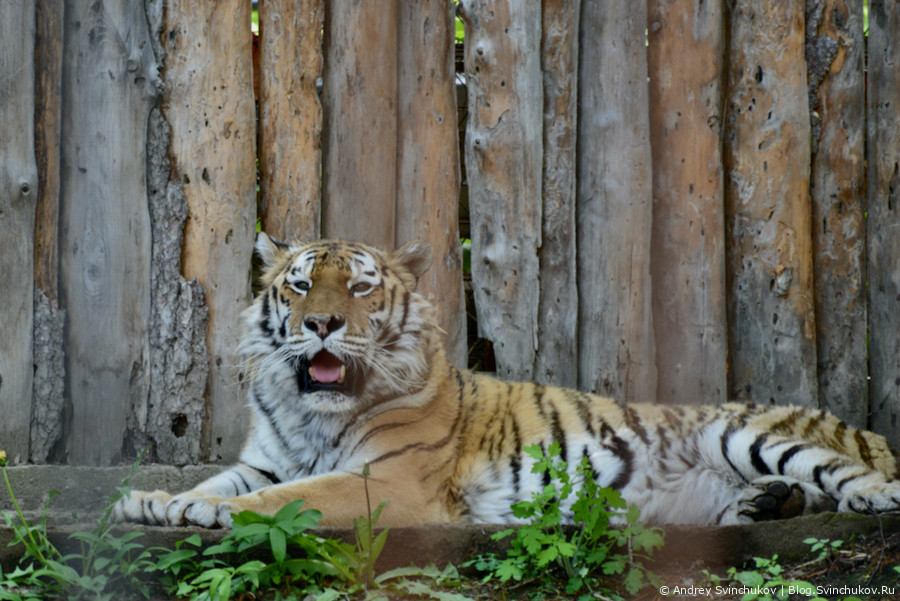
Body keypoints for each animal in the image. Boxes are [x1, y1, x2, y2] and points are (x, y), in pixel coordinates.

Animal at [114, 236, 900, 528]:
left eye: (361, 287)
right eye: (301, 284)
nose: (323, 323)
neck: (315, 411)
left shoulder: (388, 480)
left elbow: (288, 497)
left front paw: (198, 511)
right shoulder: (262, 460)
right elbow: (224, 480)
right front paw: (151, 499)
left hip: (745, 431)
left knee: (850, 476)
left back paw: (862, 496)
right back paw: (767, 503)